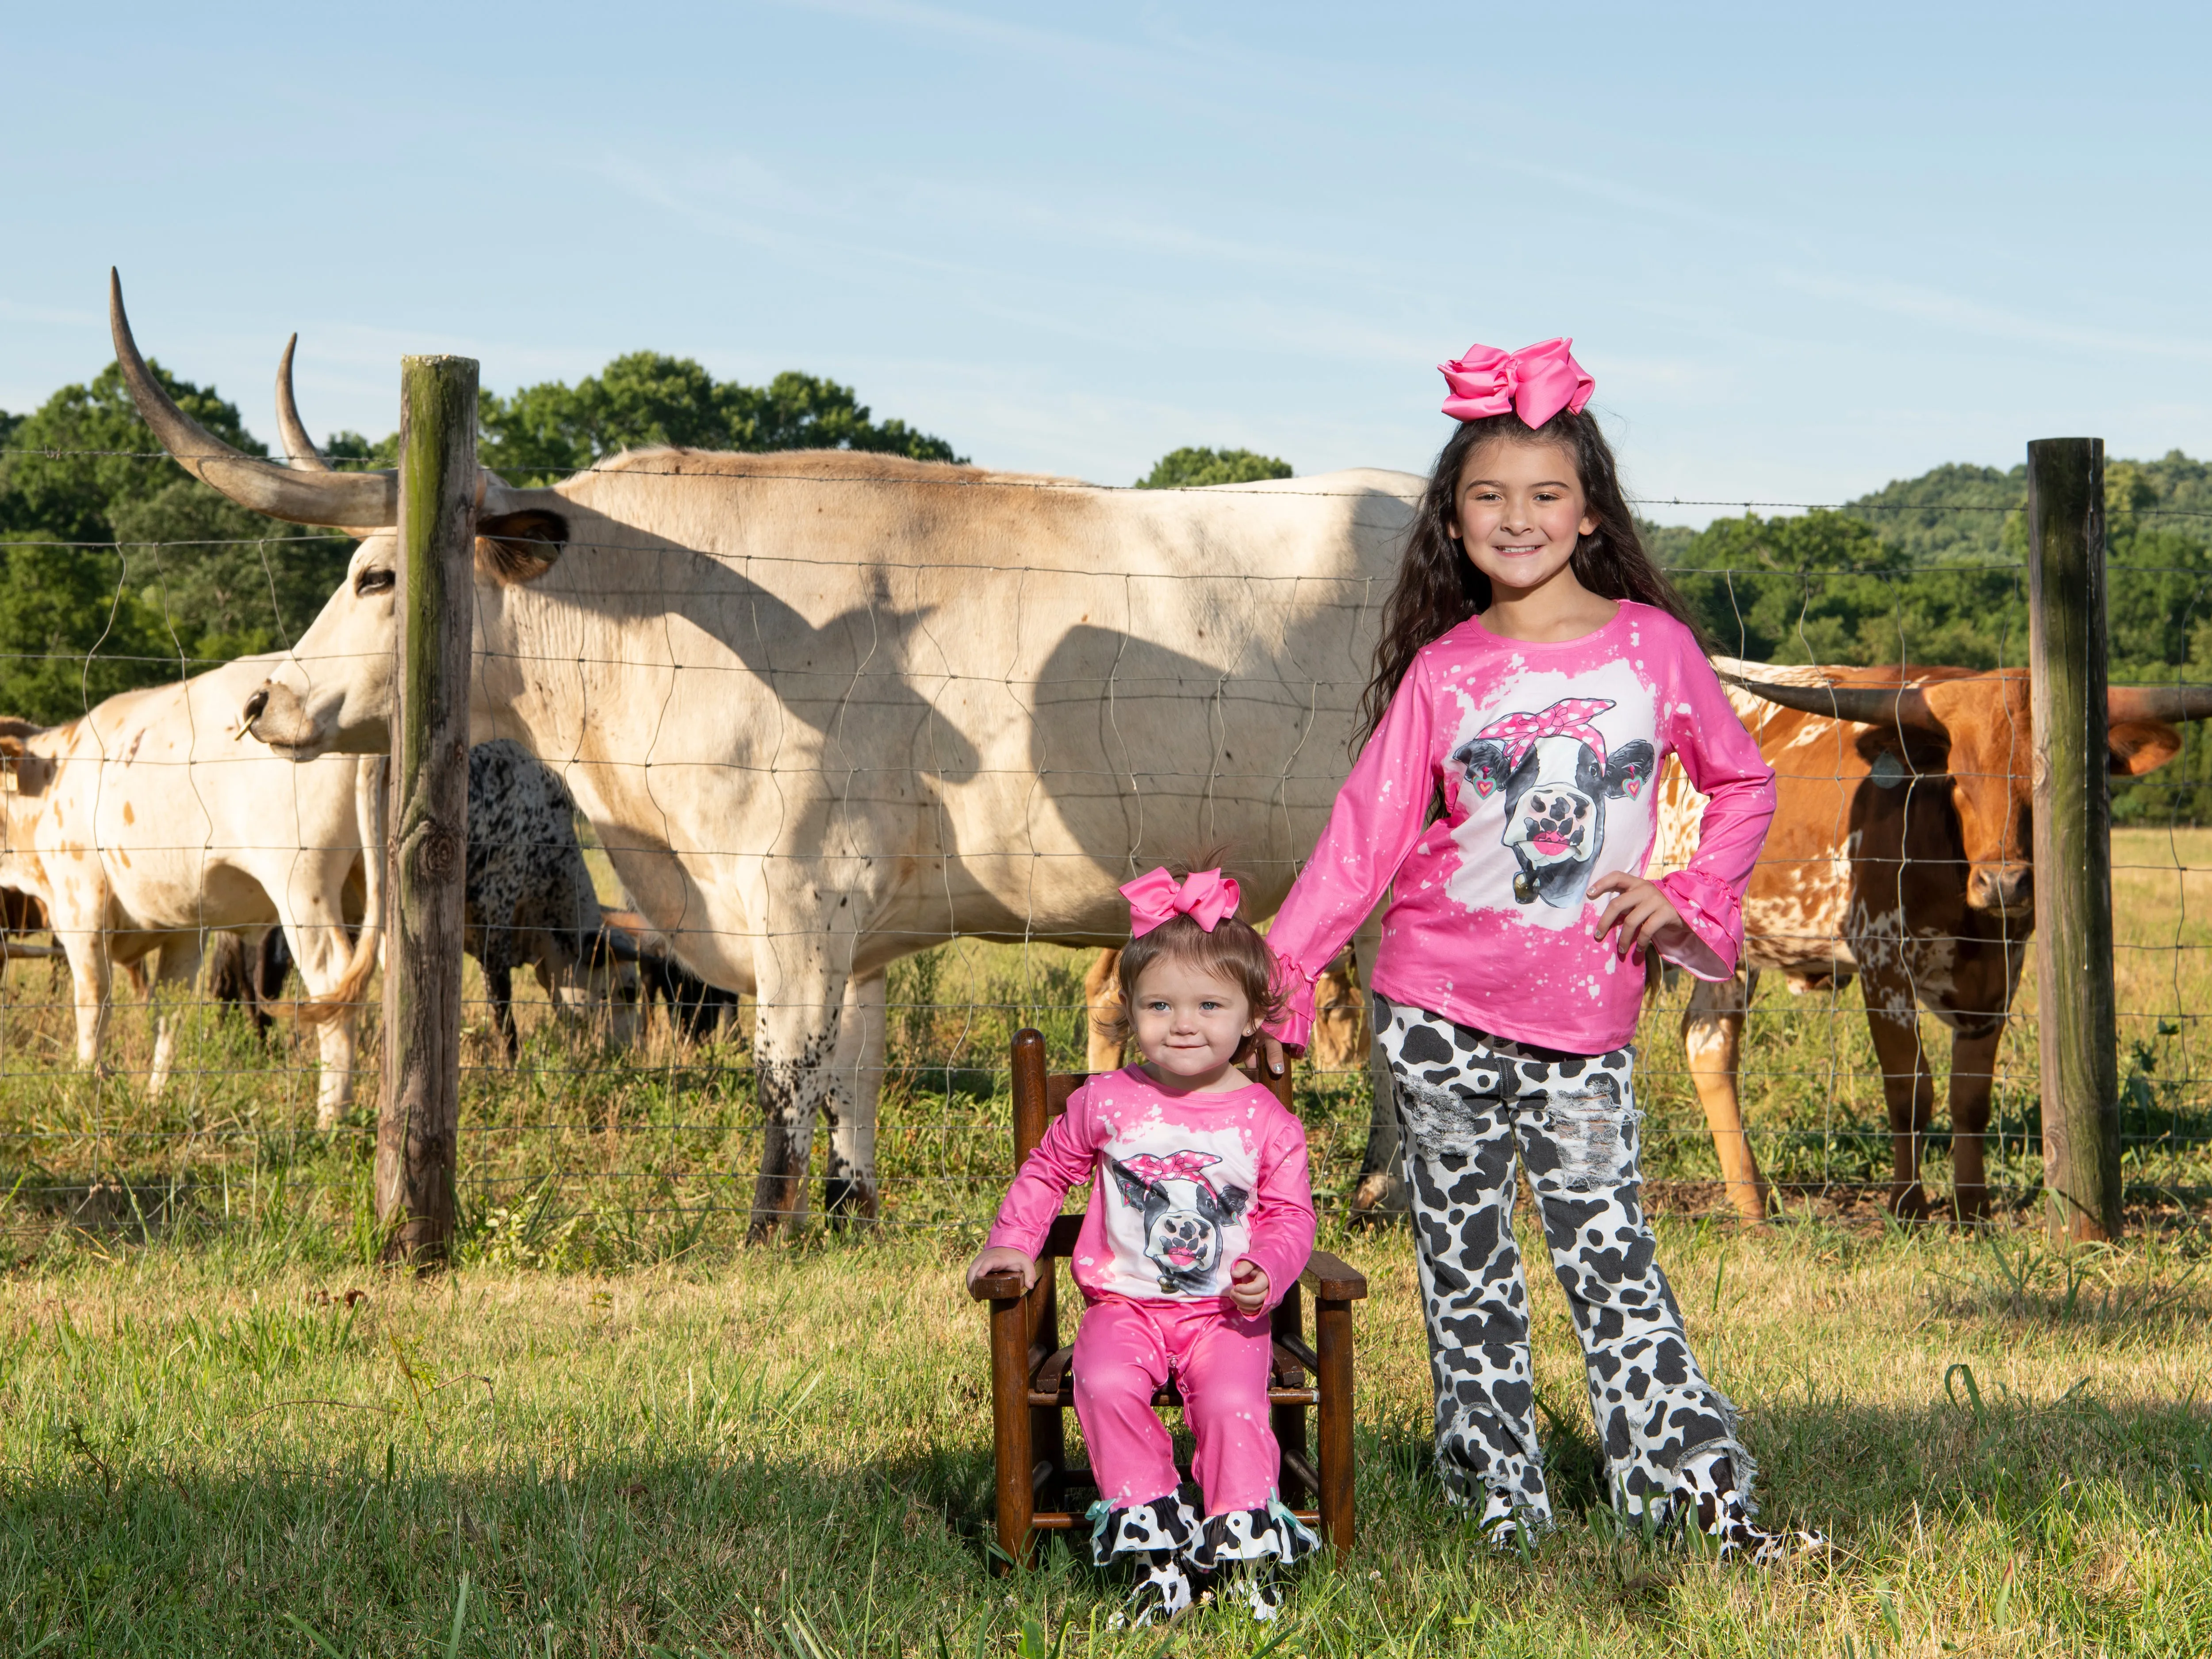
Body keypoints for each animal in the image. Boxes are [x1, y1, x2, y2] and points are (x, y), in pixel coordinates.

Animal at [1654, 659, 2203, 1221]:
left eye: (2041, 781)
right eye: (1956, 778)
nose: (2003, 883)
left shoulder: (2000, 973)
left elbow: (1971, 1097)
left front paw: (1973, 1206)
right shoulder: (1883, 964)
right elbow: (1910, 1092)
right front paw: (1908, 1205)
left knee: (1709, 1044)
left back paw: (1751, 1202)